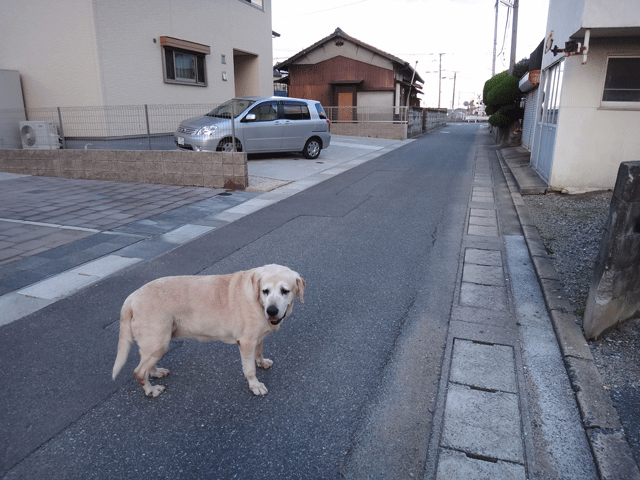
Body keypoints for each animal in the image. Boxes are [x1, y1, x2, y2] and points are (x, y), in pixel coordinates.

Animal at [112, 264, 304, 396]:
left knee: (145, 361)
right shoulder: (246, 342)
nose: (271, 310)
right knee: (139, 371)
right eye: (265, 291)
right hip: (159, 341)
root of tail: (131, 298)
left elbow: (259, 352)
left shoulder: (257, 338)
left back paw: (156, 372)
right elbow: (249, 369)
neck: (258, 301)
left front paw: (262, 362)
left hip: (155, 343)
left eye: (285, 291)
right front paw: (255, 385)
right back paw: (150, 390)